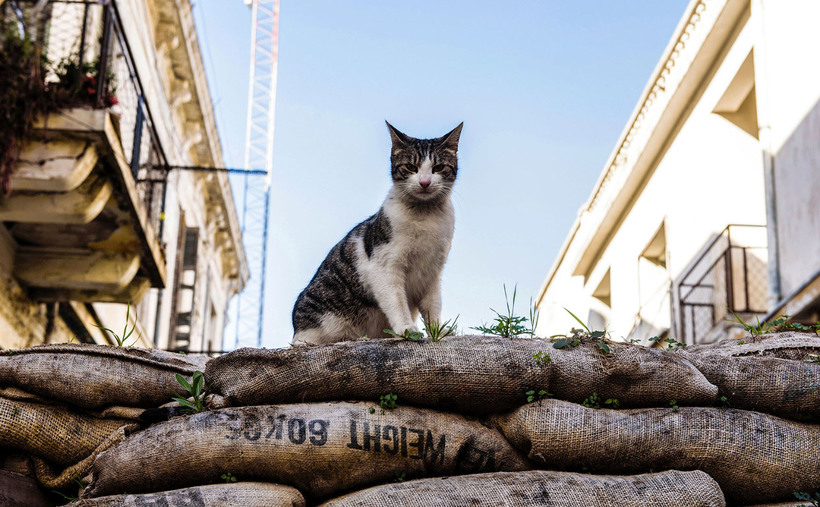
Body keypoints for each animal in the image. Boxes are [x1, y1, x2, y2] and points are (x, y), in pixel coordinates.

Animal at [294, 122, 462, 346]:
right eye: (411, 167)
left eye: (438, 168)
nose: (425, 182)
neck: (426, 217)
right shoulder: (383, 267)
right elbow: (396, 302)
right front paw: (406, 329)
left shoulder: (432, 272)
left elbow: (432, 307)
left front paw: (439, 332)